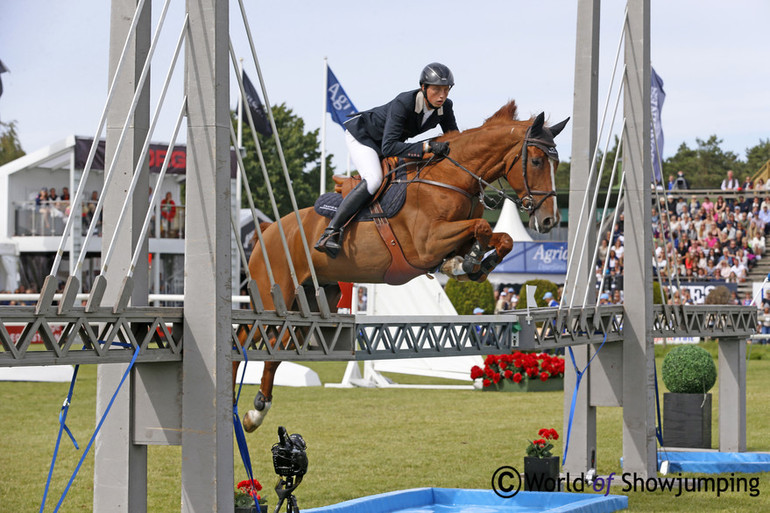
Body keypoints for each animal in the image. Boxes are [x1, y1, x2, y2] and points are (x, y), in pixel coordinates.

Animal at [237, 102, 568, 430]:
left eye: (557, 165)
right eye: (536, 161)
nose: (549, 221)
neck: (451, 178)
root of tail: (267, 231)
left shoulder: (452, 239)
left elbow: (502, 239)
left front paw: (472, 264)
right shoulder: (426, 244)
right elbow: (482, 227)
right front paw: (468, 263)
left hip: (313, 304)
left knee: (274, 351)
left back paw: (256, 412)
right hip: (272, 298)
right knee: (244, 343)